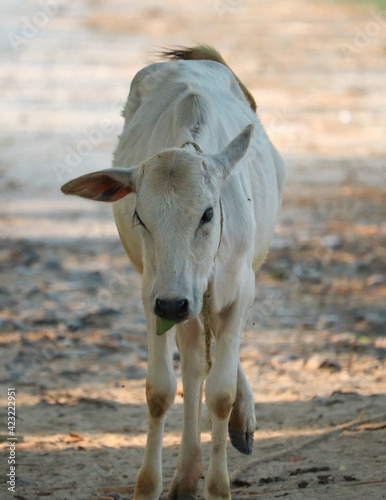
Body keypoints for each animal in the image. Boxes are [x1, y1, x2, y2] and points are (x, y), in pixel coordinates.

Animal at [61, 46, 284, 500]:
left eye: (208, 213)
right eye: (140, 217)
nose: (173, 303)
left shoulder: (239, 289)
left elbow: (220, 392)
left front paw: (218, 486)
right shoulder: (154, 292)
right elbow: (161, 390)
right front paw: (150, 485)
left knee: (208, 360)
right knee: (196, 361)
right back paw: (185, 475)